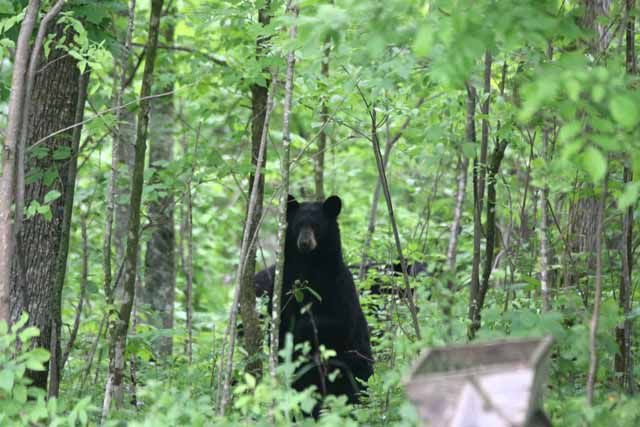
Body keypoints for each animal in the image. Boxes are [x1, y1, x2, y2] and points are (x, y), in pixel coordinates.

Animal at [260, 195, 372, 414]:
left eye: (316, 226)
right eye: (298, 225)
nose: (304, 242)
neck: (309, 265)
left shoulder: (338, 285)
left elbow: (339, 323)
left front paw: (300, 331)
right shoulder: (283, 284)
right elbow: (277, 323)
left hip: (355, 364)